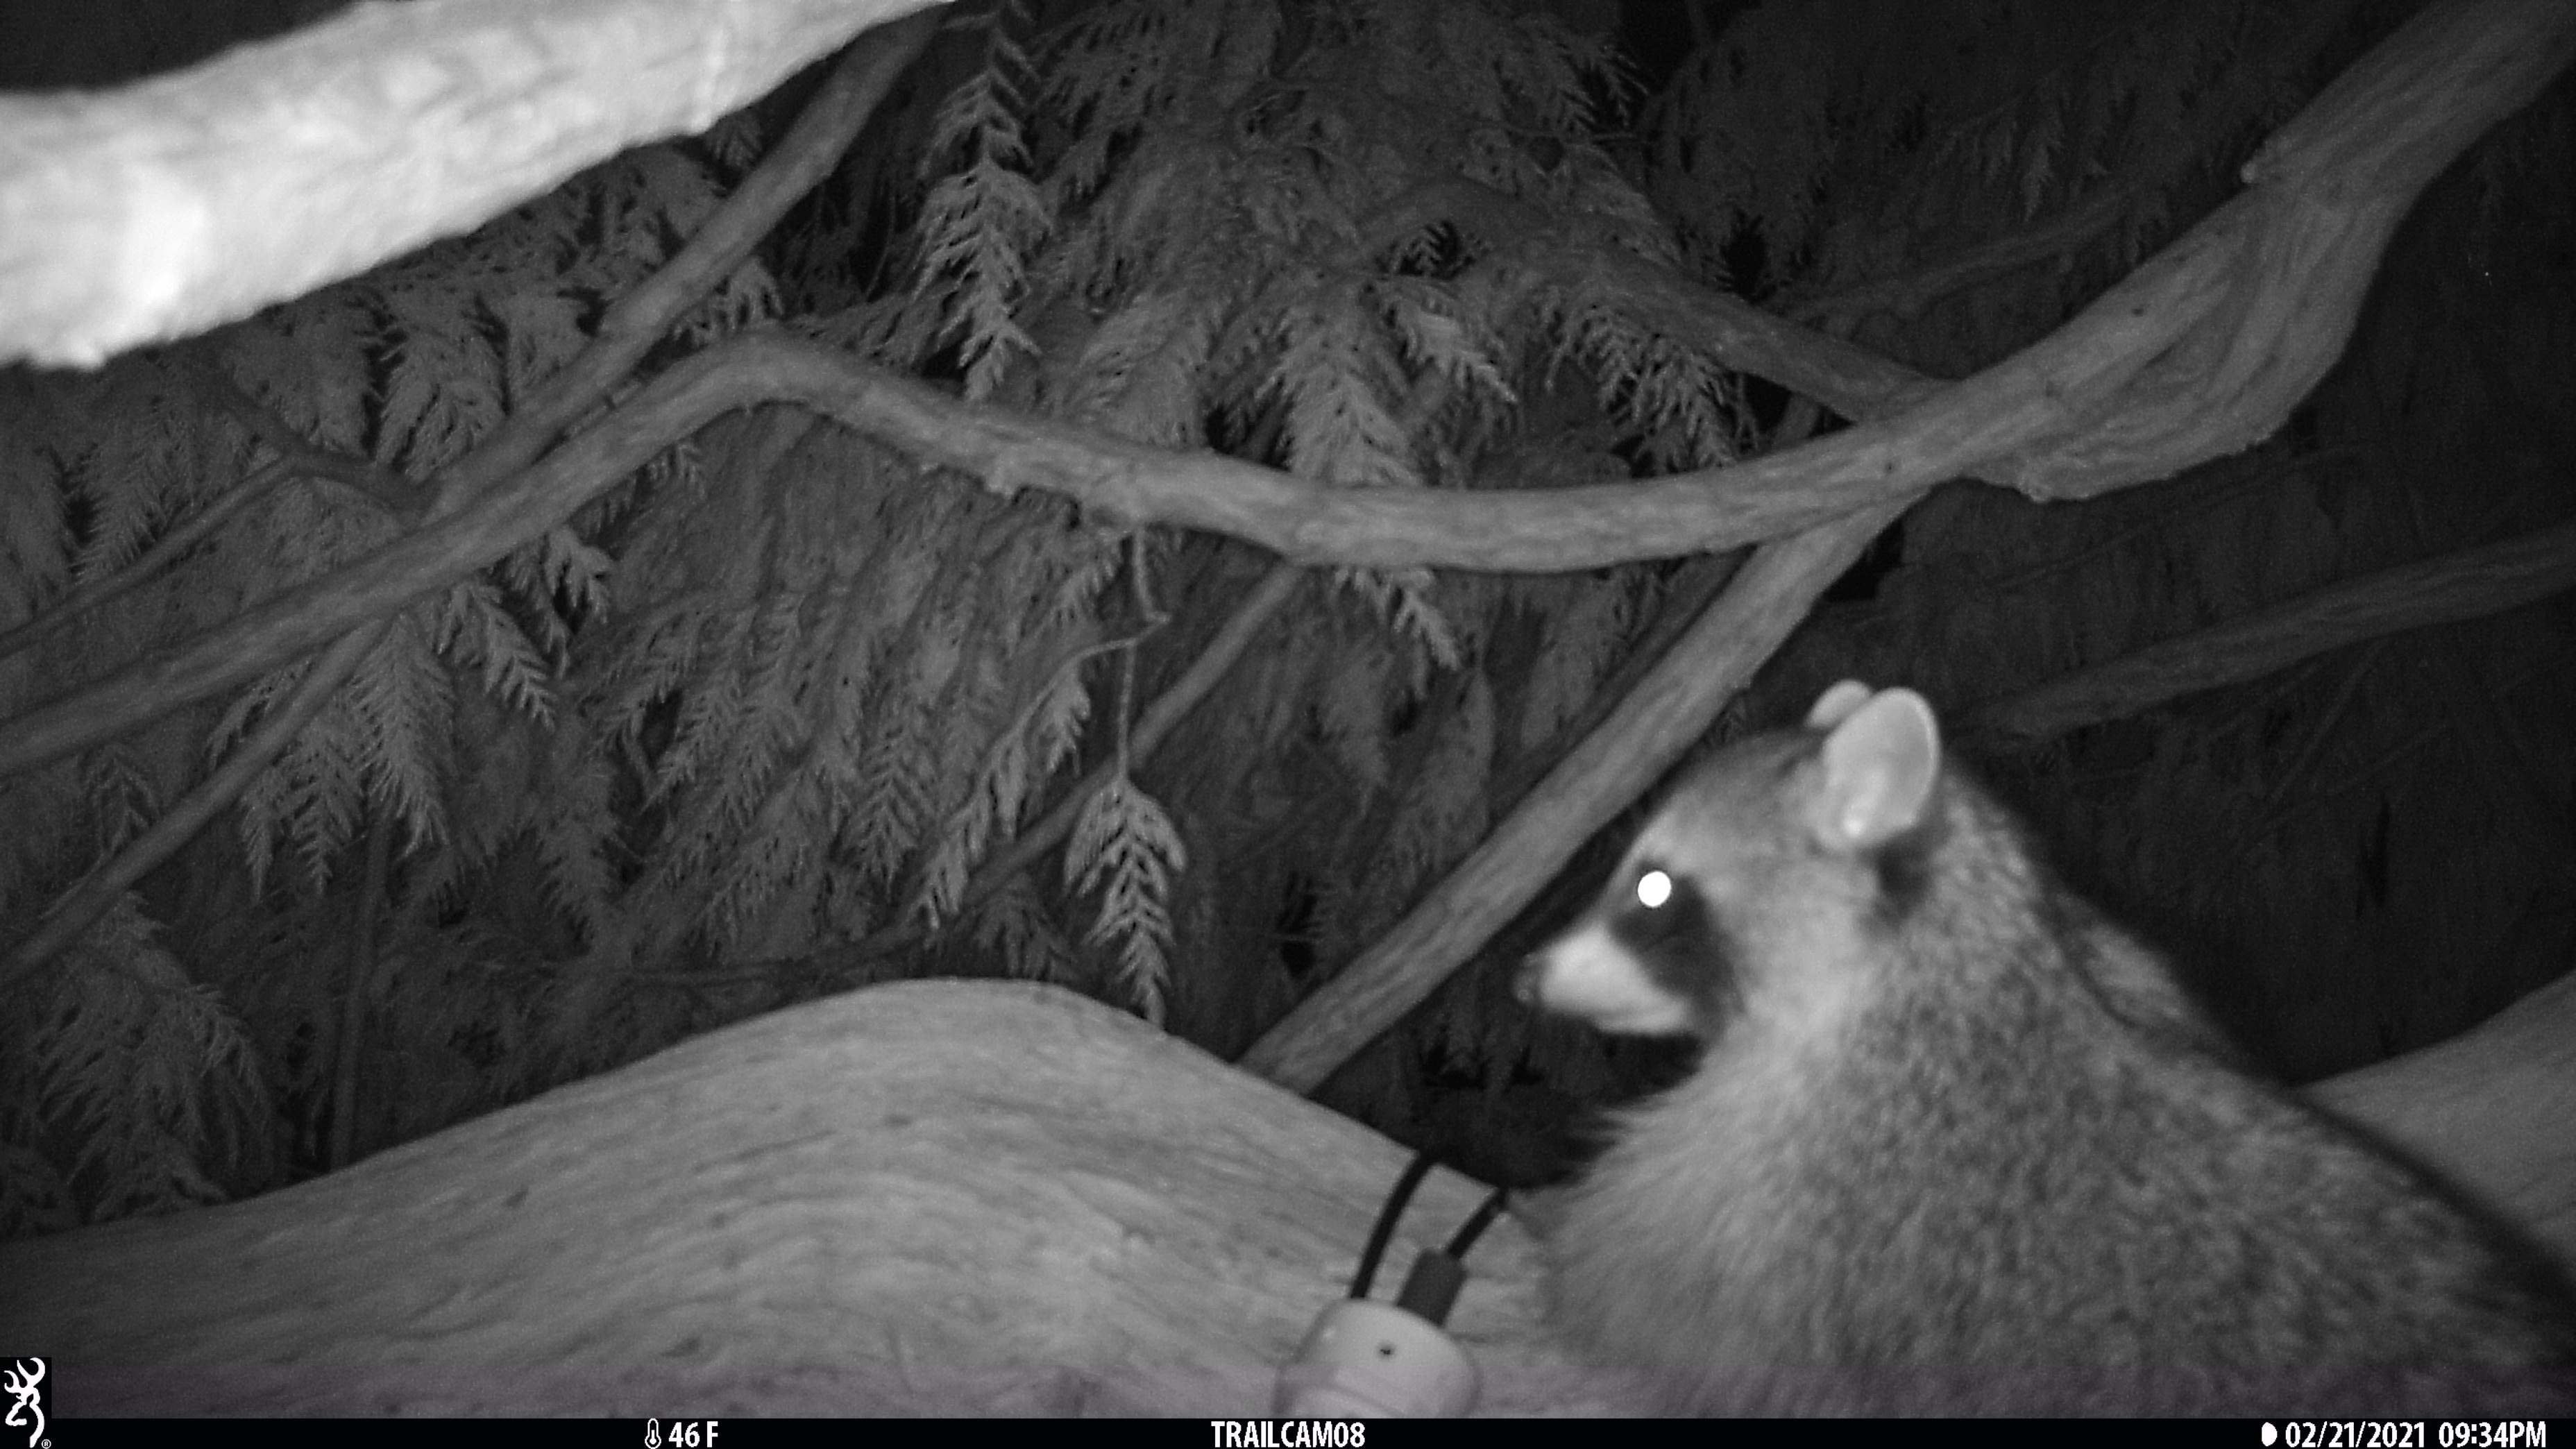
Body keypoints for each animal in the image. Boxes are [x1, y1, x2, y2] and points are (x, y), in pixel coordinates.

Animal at [1518, 681, 2576, 1416]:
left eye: (1652, 891)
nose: (1524, 977)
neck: (1980, 952)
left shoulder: (1776, 1199)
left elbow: (1635, 1281)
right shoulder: (2130, 973)